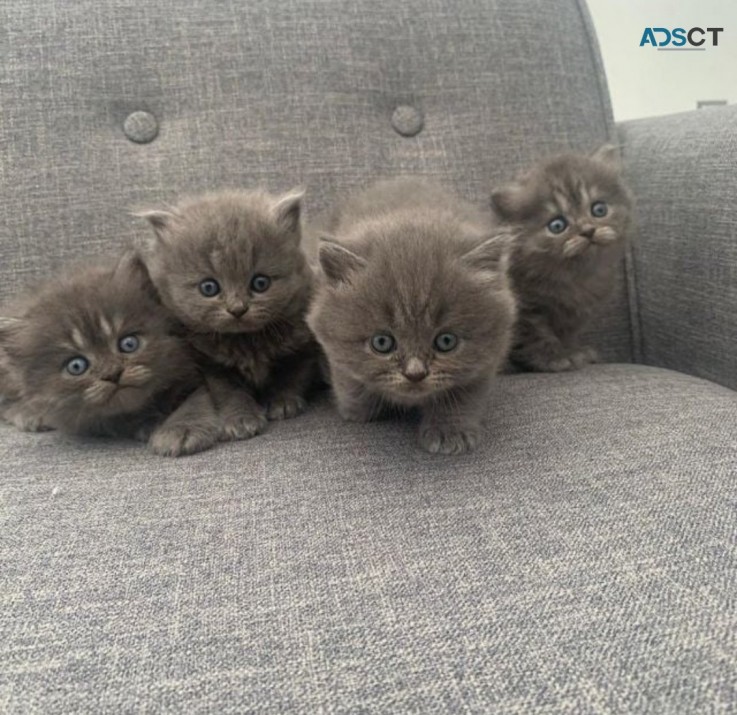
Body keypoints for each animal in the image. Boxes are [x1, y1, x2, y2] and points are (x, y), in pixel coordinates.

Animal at [0, 255, 218, 456]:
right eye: (76, 366)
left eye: (129, 344)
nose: (113, 373)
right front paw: (150, 423)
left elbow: (198, 397)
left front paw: (180, 429)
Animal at [137, 189, 318, 442]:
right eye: (209, 288)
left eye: (260, 283)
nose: (237, 309)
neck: (247, 342)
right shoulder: (211, 365)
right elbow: (229, 393)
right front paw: (240, 420)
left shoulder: (302, 345)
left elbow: (294, 375)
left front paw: (283, 402)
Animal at [308, 177, 516, 456]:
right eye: (382, 342)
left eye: (446, 341)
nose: (415, 373)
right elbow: (349, 378)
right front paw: (359, 408)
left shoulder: (488, 358)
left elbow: (465, 394)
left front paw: (450, 432)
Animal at [488, 143, 632, 372]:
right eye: (557, 225)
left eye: (599, 209)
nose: (588, 231)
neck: (573, 278)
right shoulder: (525, 310)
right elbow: (537, 337)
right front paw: (556, 358)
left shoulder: (574, 317)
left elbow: (566, 335)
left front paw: (574, 351)